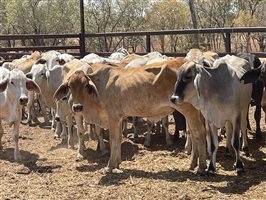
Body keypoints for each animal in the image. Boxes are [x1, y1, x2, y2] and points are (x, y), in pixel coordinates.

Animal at [54, 57, 208, 173]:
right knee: (193, 134)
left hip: (190, 110)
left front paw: (110, 166)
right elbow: (118, 140)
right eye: (70, 87)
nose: (77, 107)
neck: (99, 89)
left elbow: (114, 140)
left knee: (199, 133)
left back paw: (201, 167)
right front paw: (117, 163)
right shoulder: (118, 118)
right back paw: (193, 164)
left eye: (85, 85)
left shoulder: (112, 117)